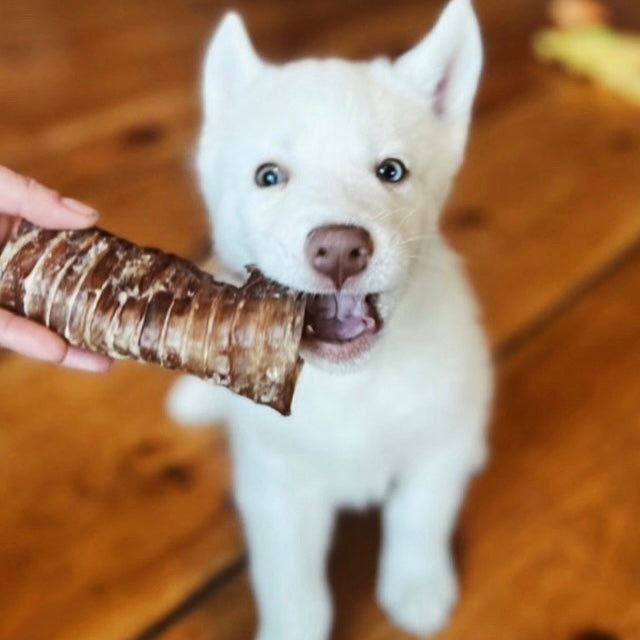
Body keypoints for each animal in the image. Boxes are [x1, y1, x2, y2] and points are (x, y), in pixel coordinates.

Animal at [168, 2, 492, 636]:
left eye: (391, 171)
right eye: (269, 176)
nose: (340, 250)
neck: (352, 387)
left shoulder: (439, 442)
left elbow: (419, 517)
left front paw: (417, 584)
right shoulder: (275, 488)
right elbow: (292, 583)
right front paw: (293, 627)